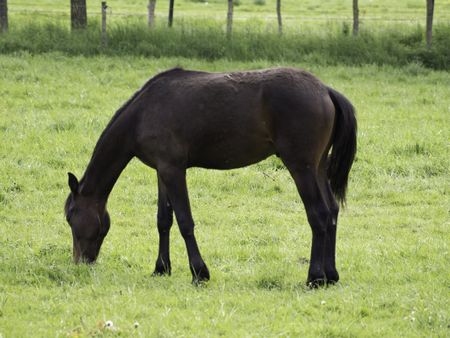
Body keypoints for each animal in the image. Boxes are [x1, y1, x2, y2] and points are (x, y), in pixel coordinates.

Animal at [64, 67, 358, 286]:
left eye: (70, 217)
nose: (80, 262)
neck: (143, 113)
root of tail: (325, 90)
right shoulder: (162, 170)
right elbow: (163, 220)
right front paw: (161, 268)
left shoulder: (173, 169)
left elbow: (185, 221)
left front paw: (199, 273)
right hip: (318, 166)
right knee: (332, 211)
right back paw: (331, 275)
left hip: (301, 167)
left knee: (318, 214)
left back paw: (315, 277)